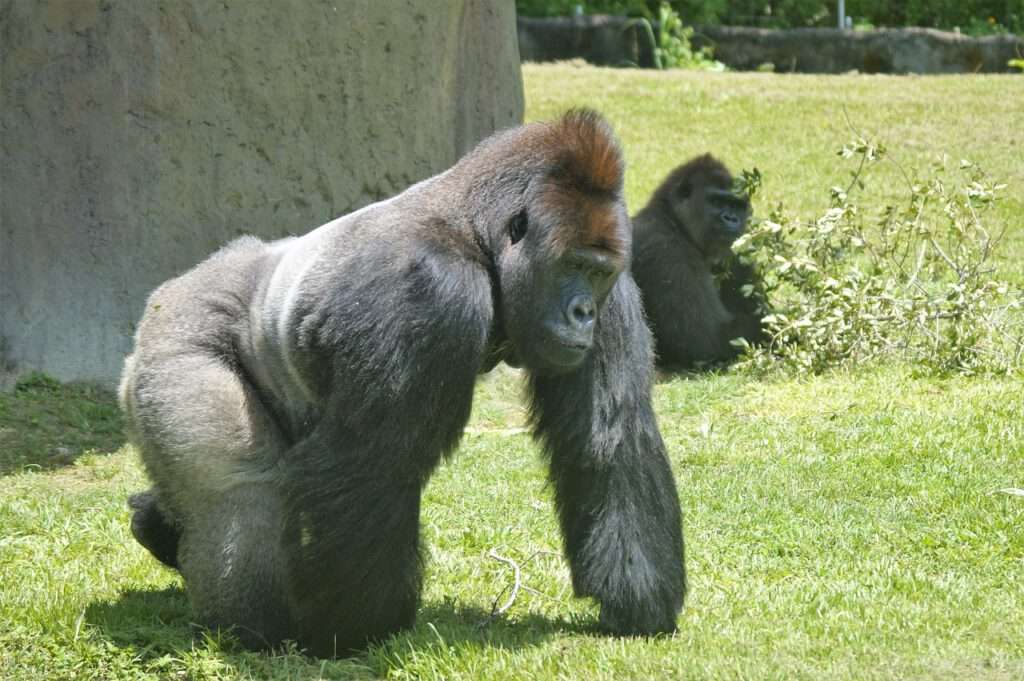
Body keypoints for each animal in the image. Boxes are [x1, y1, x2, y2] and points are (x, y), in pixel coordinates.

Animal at [121, 109, 688, 655]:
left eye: (598, 272)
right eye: (572, 265)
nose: (583, 313)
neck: (474, 232)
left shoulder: (616, 289)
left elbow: (608, 439)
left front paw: (637, 600)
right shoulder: (429, 290)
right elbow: (371, 466)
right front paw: (354, 629)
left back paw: (156, 525)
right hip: (175, 341)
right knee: (240, 492)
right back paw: (252, 625)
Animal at [626, 152, 765, 372]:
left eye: (737, 206)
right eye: (716, 201)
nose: (731, 219)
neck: (673, 220)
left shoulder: (736, 253)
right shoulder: (663, 249)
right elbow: (705, 339)